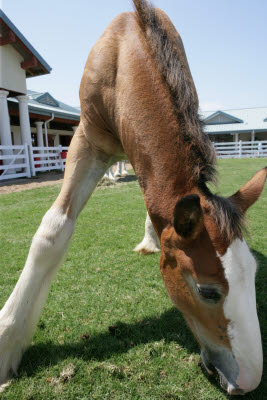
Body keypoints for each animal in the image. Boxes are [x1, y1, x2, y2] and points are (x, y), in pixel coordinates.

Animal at [0, 0, 267, 394]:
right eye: (208, 291)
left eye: (253, 274)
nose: (249, 380)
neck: (125, 55)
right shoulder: (87, 141)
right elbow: (53, 231)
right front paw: (8, 340)